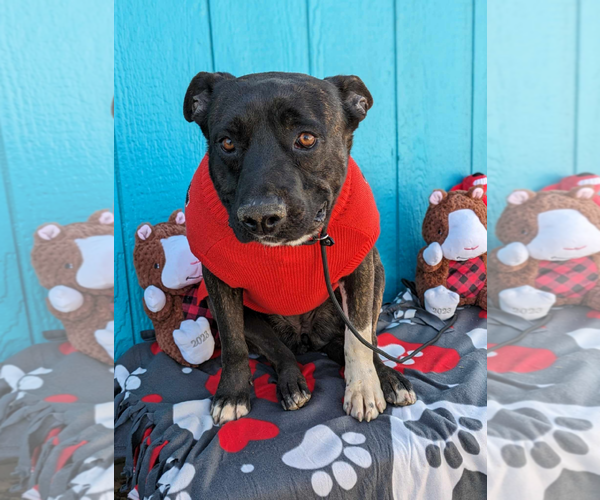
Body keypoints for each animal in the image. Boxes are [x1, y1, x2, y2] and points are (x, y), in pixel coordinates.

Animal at [185, 73, 414, 426]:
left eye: (306, 139)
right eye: (227, 143)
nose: (260, 217)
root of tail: (309, 338)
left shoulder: (362, 270)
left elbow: (359, 339)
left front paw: (363, 388)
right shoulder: (218, 283)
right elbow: (233, 344)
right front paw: (232, 394)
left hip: (376, 272)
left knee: (367, 339)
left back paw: (387, 378)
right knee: (281, 352)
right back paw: (292, 384)